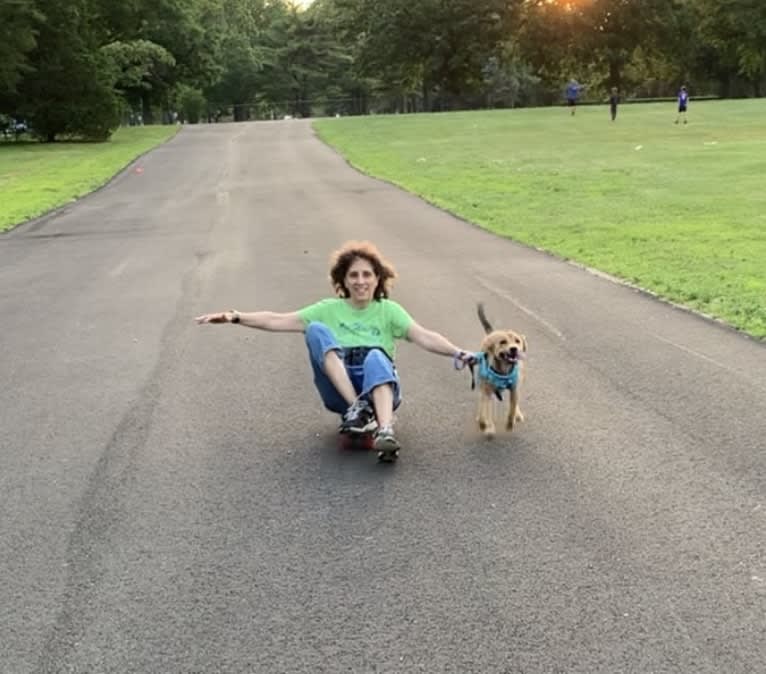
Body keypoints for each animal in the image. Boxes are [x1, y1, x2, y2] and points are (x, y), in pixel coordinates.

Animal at [474, 304, 528, 438]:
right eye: (503, 342)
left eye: (517, 341)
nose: (514, 349)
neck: (504, 370)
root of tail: (492, 333)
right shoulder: (487, 391)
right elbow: (485, 412)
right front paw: (486, 426)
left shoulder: (514, 389)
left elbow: (512, 408)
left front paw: (510, 423)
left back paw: (517, 414)